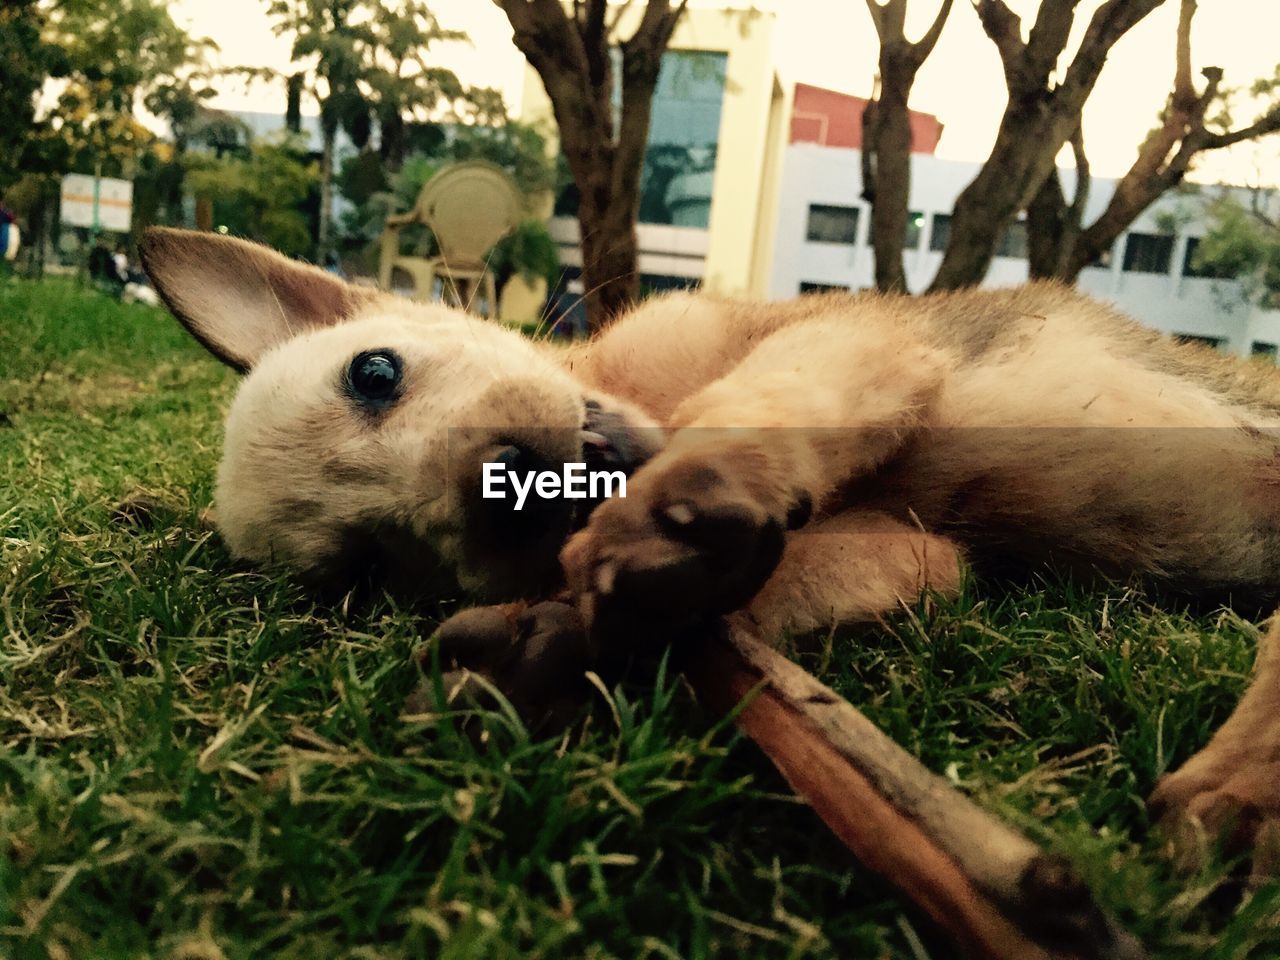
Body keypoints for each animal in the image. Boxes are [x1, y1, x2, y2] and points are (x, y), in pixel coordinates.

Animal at [140, 225, 1280, 880]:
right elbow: (754, 591)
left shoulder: (859, 345)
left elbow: (757, 403)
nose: (503, 499)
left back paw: (1239, 791)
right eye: (368, 571)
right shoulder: (917, 552)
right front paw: (558, 644)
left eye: (373, 373)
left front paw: (682, 495)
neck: (631, 384)